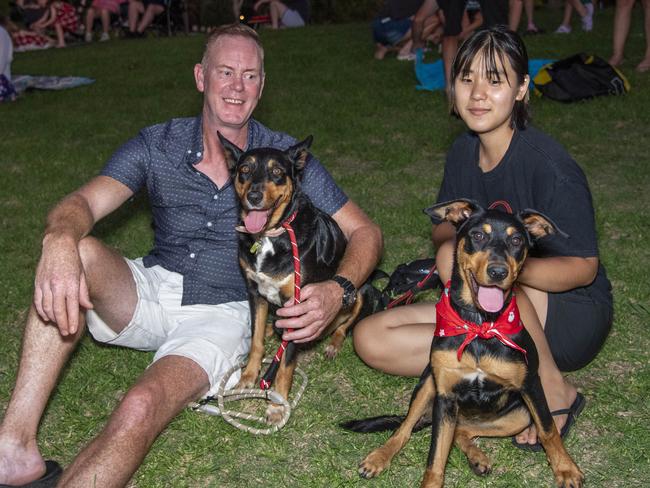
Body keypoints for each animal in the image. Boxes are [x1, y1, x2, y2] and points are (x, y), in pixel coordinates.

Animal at [219, 136, 370, 424]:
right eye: (245, 170)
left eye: (277, 171)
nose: (253, 196)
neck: (270, 236)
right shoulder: (254, 292)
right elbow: (255, 341)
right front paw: (248, 378)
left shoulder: (297, 306)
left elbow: (286, 364)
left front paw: (278, 404)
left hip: (359, 292)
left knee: (344, 326)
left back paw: (332, 344)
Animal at [344, 199, 584, 488]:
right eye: (478, 235)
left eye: (516, 240)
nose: (498, 271)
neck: (480, 326)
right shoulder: (445, 395)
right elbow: (436, 455)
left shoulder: (531, 386)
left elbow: (548, 430)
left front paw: (565, 469)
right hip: (428, 384)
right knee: (405, 428)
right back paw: (379, 457)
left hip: (517, 415)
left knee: (464, 430)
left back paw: (477, 457)